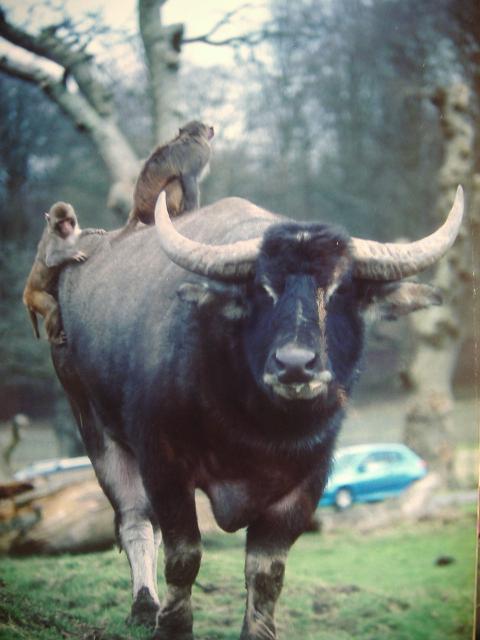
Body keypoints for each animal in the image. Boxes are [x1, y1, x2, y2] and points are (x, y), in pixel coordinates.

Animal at [23, 202, 105, 344]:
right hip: (34, 296)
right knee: (52, 307)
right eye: (61, 223)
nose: (67, 227)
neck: (62, 236)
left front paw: (92, 230)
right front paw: (73, 254)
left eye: (67, 220)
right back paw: (53, 338)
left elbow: (79, 234)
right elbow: (50, 259)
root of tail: (27, 292)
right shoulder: (52, 239)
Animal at [52, 186, 464, 640]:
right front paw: (173, 626)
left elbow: (267, 573)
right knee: (135, 520)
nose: (296, 365)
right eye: (264, 289)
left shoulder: (305, 484)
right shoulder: (164, 462)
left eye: (339, 290)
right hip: (92, 424)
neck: (258, 429)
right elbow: (184, 556)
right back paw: (144, 607)